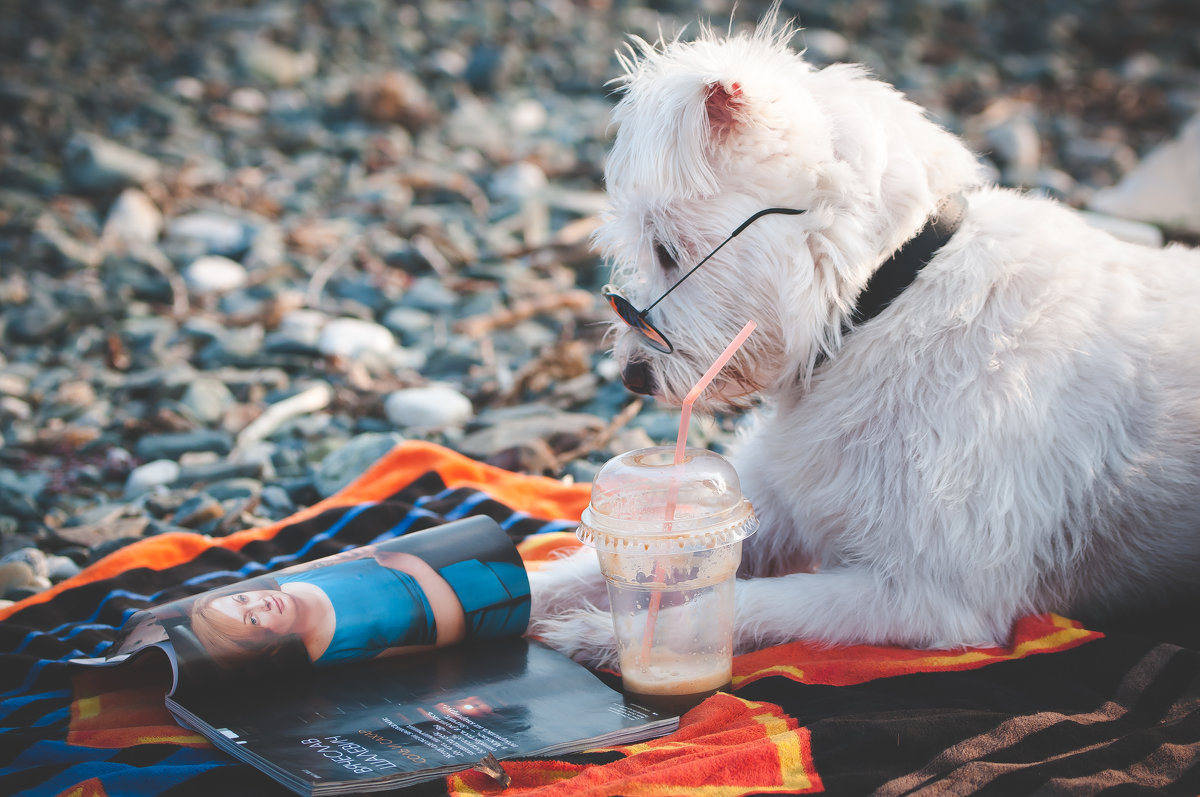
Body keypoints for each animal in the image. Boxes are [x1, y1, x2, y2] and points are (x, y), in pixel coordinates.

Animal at [528, 12, 1200, 667]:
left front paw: (606, 637)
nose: (631, 376)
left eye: (666, 251)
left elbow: (730, 606)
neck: (883, 302)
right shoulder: (771, 504)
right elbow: (574, 572)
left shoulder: (926, 595)